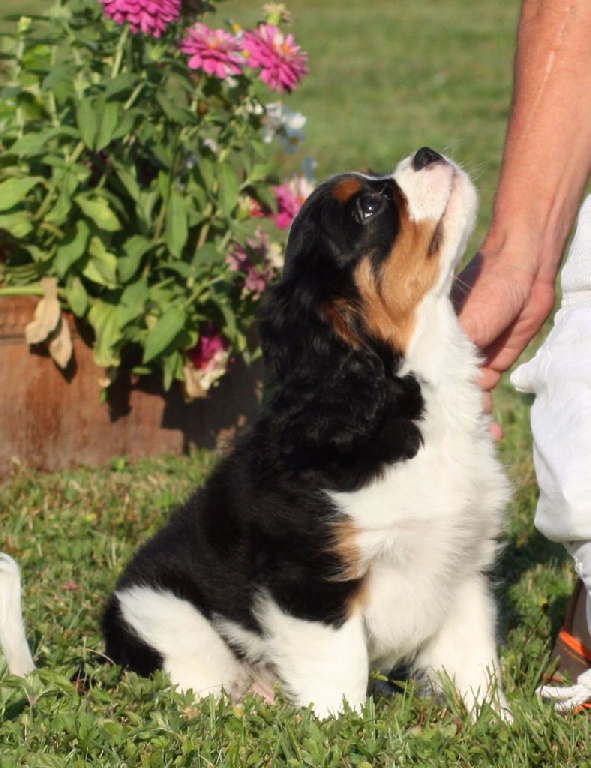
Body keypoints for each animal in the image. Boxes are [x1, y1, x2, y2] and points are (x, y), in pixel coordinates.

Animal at [0, 148, 508, 720]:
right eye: (370, 208)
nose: (426, 153)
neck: (404, 395)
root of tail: (105, 660)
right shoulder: (308, 578)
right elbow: (339, 673)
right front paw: (344, 729)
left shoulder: (463, 569)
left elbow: (475, 667)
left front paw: (497, 723)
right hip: (162, 611)